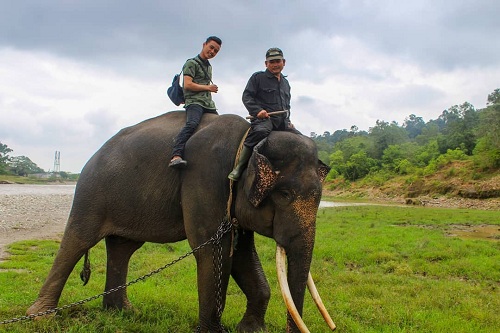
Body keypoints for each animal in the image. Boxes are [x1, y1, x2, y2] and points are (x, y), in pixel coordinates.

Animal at [27, 110, 334, 330]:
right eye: (284, 194)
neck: (249, 139)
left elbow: (242, 253)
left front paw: (251, 330)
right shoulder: (206, 175)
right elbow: (214, 249)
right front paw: (212, 331)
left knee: (122, 247)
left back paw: (123, 311)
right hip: (91, 192)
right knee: (77, 240)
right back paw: (41, 317)